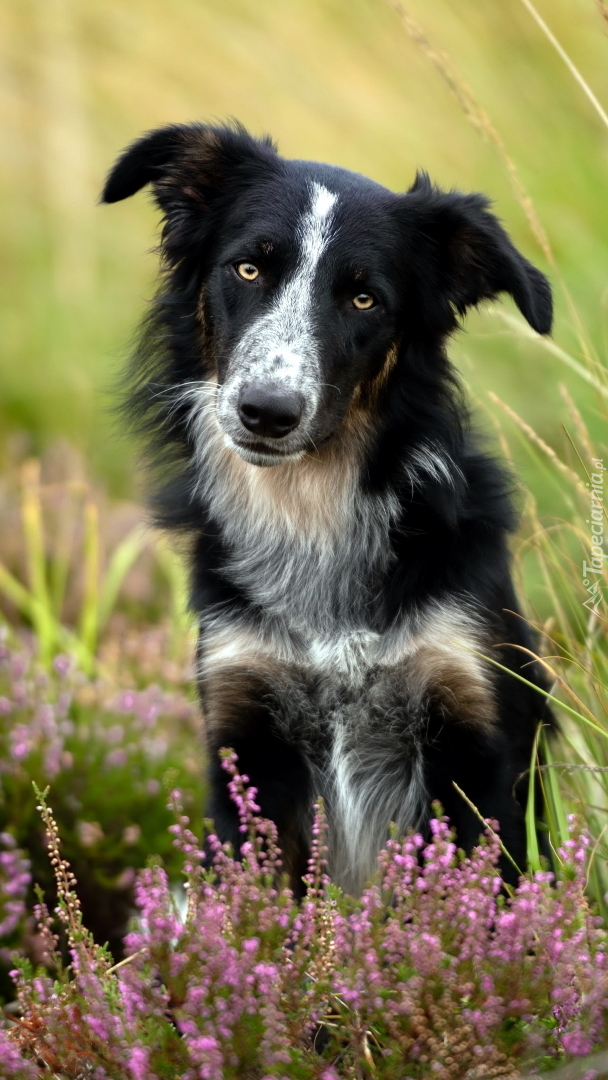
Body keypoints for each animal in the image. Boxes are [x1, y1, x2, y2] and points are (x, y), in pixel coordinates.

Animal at [103, 122, 552, 889]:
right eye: (248, 270)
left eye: (364, 299)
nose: (266, 412)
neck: (309, 511)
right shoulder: (247, 735)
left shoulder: (477, 738)